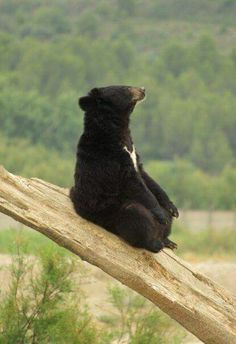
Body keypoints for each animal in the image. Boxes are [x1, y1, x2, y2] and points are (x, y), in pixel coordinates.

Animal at [70, 86, 179, 253]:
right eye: (125, 88)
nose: (143, 89)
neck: (116, 130)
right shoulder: (112, 156)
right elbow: (134, 183)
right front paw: (160, 215)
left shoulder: (133, 153)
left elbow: (146, 176)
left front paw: (172, 208)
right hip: (110, 213)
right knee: (135, 214)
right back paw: (154, 243)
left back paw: (168, 240)